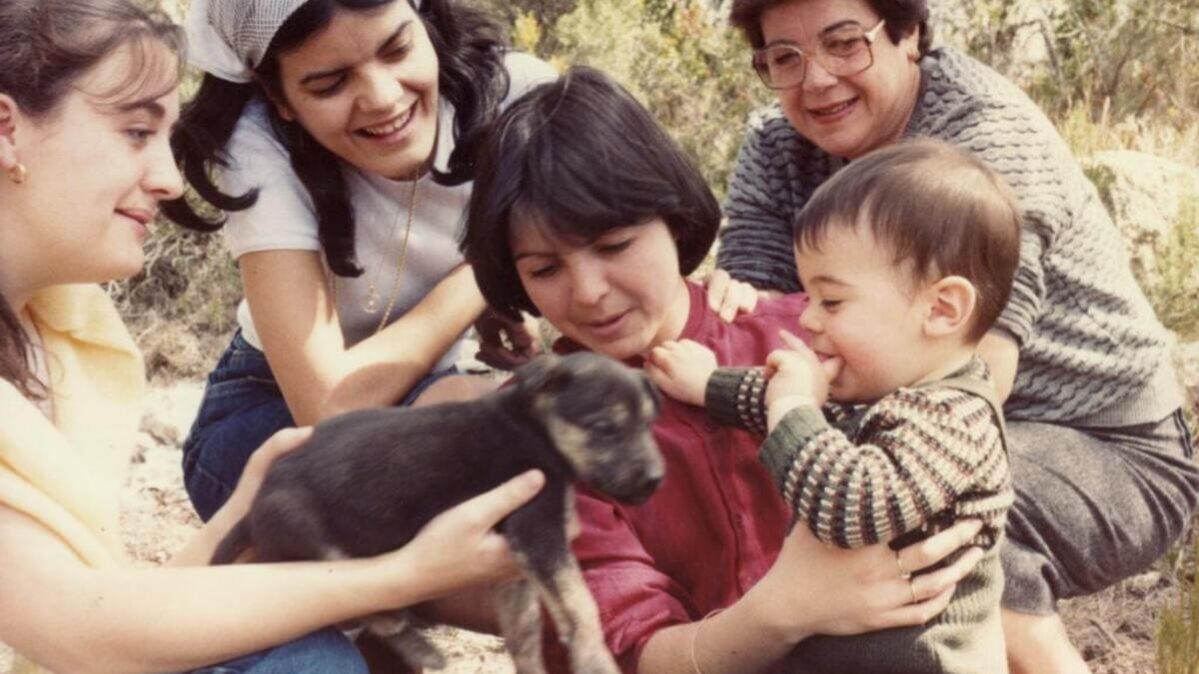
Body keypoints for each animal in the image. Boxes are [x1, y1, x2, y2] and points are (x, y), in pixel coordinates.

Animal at [215, 352, 666, 671]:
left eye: (648, 424)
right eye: (605, 429)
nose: (656, 480)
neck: (535, 427)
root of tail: (253, 507)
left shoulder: (513, 567)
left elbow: (524, 631)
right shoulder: (538, 533)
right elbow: (581, 605)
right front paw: (596, 661)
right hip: (314, 540)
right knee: (363, 609)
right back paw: (416, 642)